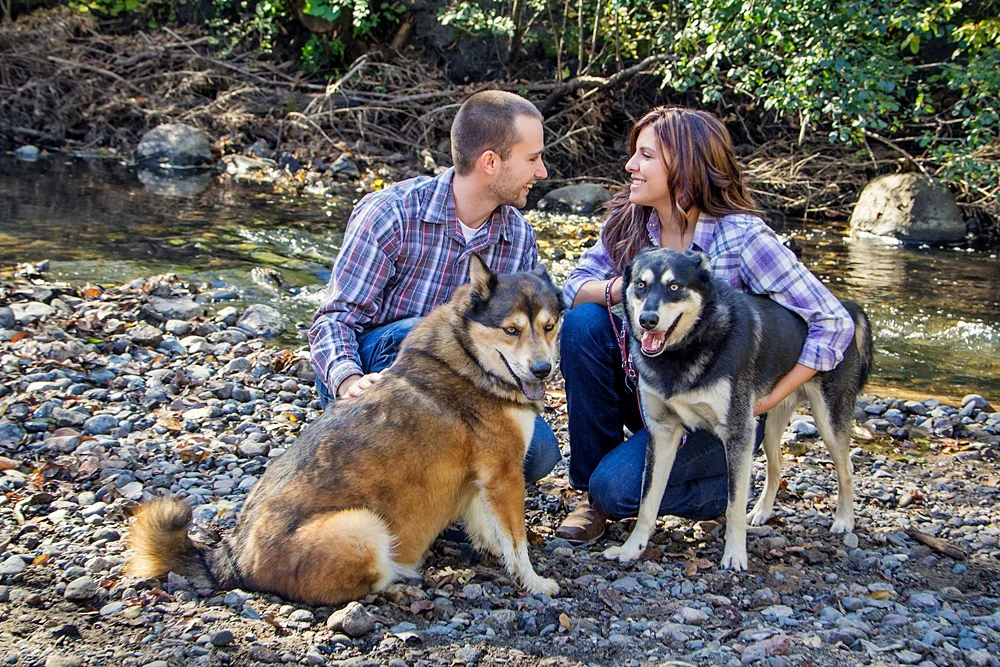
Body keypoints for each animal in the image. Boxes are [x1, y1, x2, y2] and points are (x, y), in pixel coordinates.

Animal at [127, 255, 563, 605]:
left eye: (550, 326)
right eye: (511, 330)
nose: (543, 370)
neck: (469, 359)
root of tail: (232, 560)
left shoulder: (479, 478)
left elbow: (488, 527)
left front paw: (497, 556)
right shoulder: (504, 475)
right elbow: (516, 539)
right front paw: (534, 582)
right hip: (363, 527)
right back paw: (400, 579)